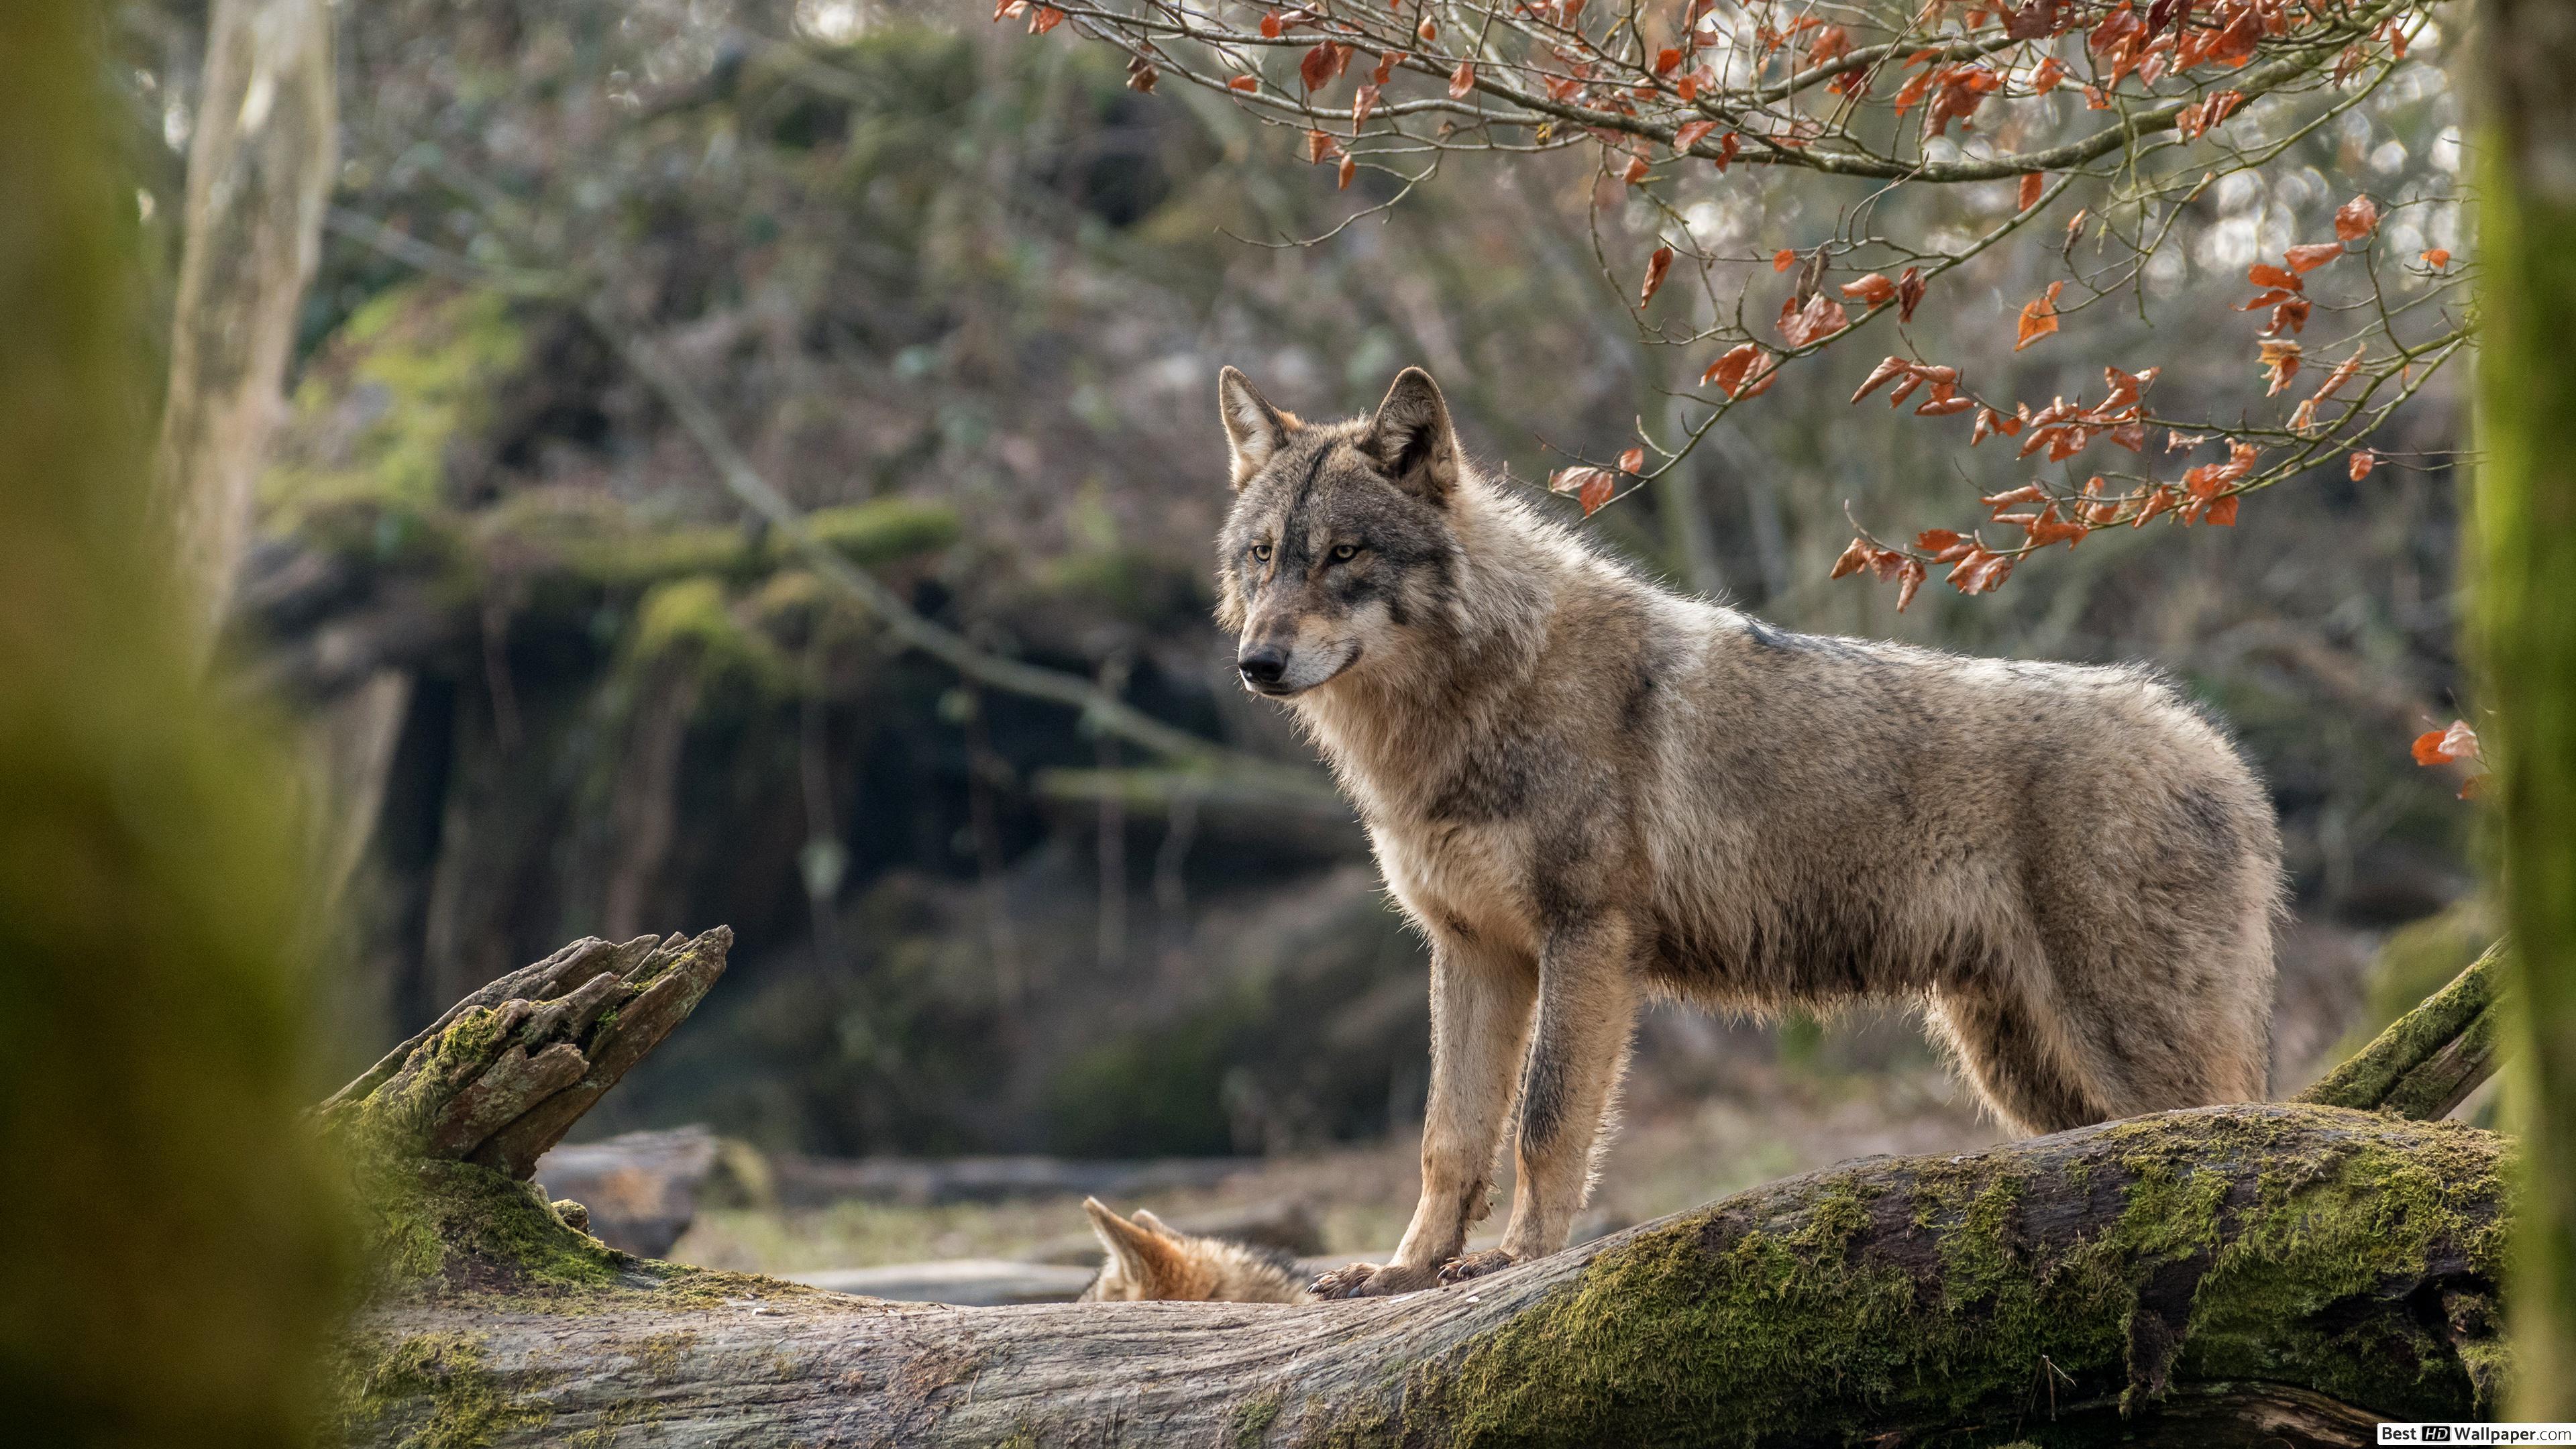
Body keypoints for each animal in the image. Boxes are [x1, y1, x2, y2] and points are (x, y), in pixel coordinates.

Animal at [1211, 365, 2282, 1298]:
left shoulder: (1587, 938)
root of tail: (2220, 753)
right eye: (1264, 555)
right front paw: (1404, 1272)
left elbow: (1545, 1122)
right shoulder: (1473, 949)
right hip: (2021, 1070)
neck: (1471, 702)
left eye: (1344, 554)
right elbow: (1449, 1137)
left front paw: (1517, 1259)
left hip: (2120, 1051)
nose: (1256, 663)